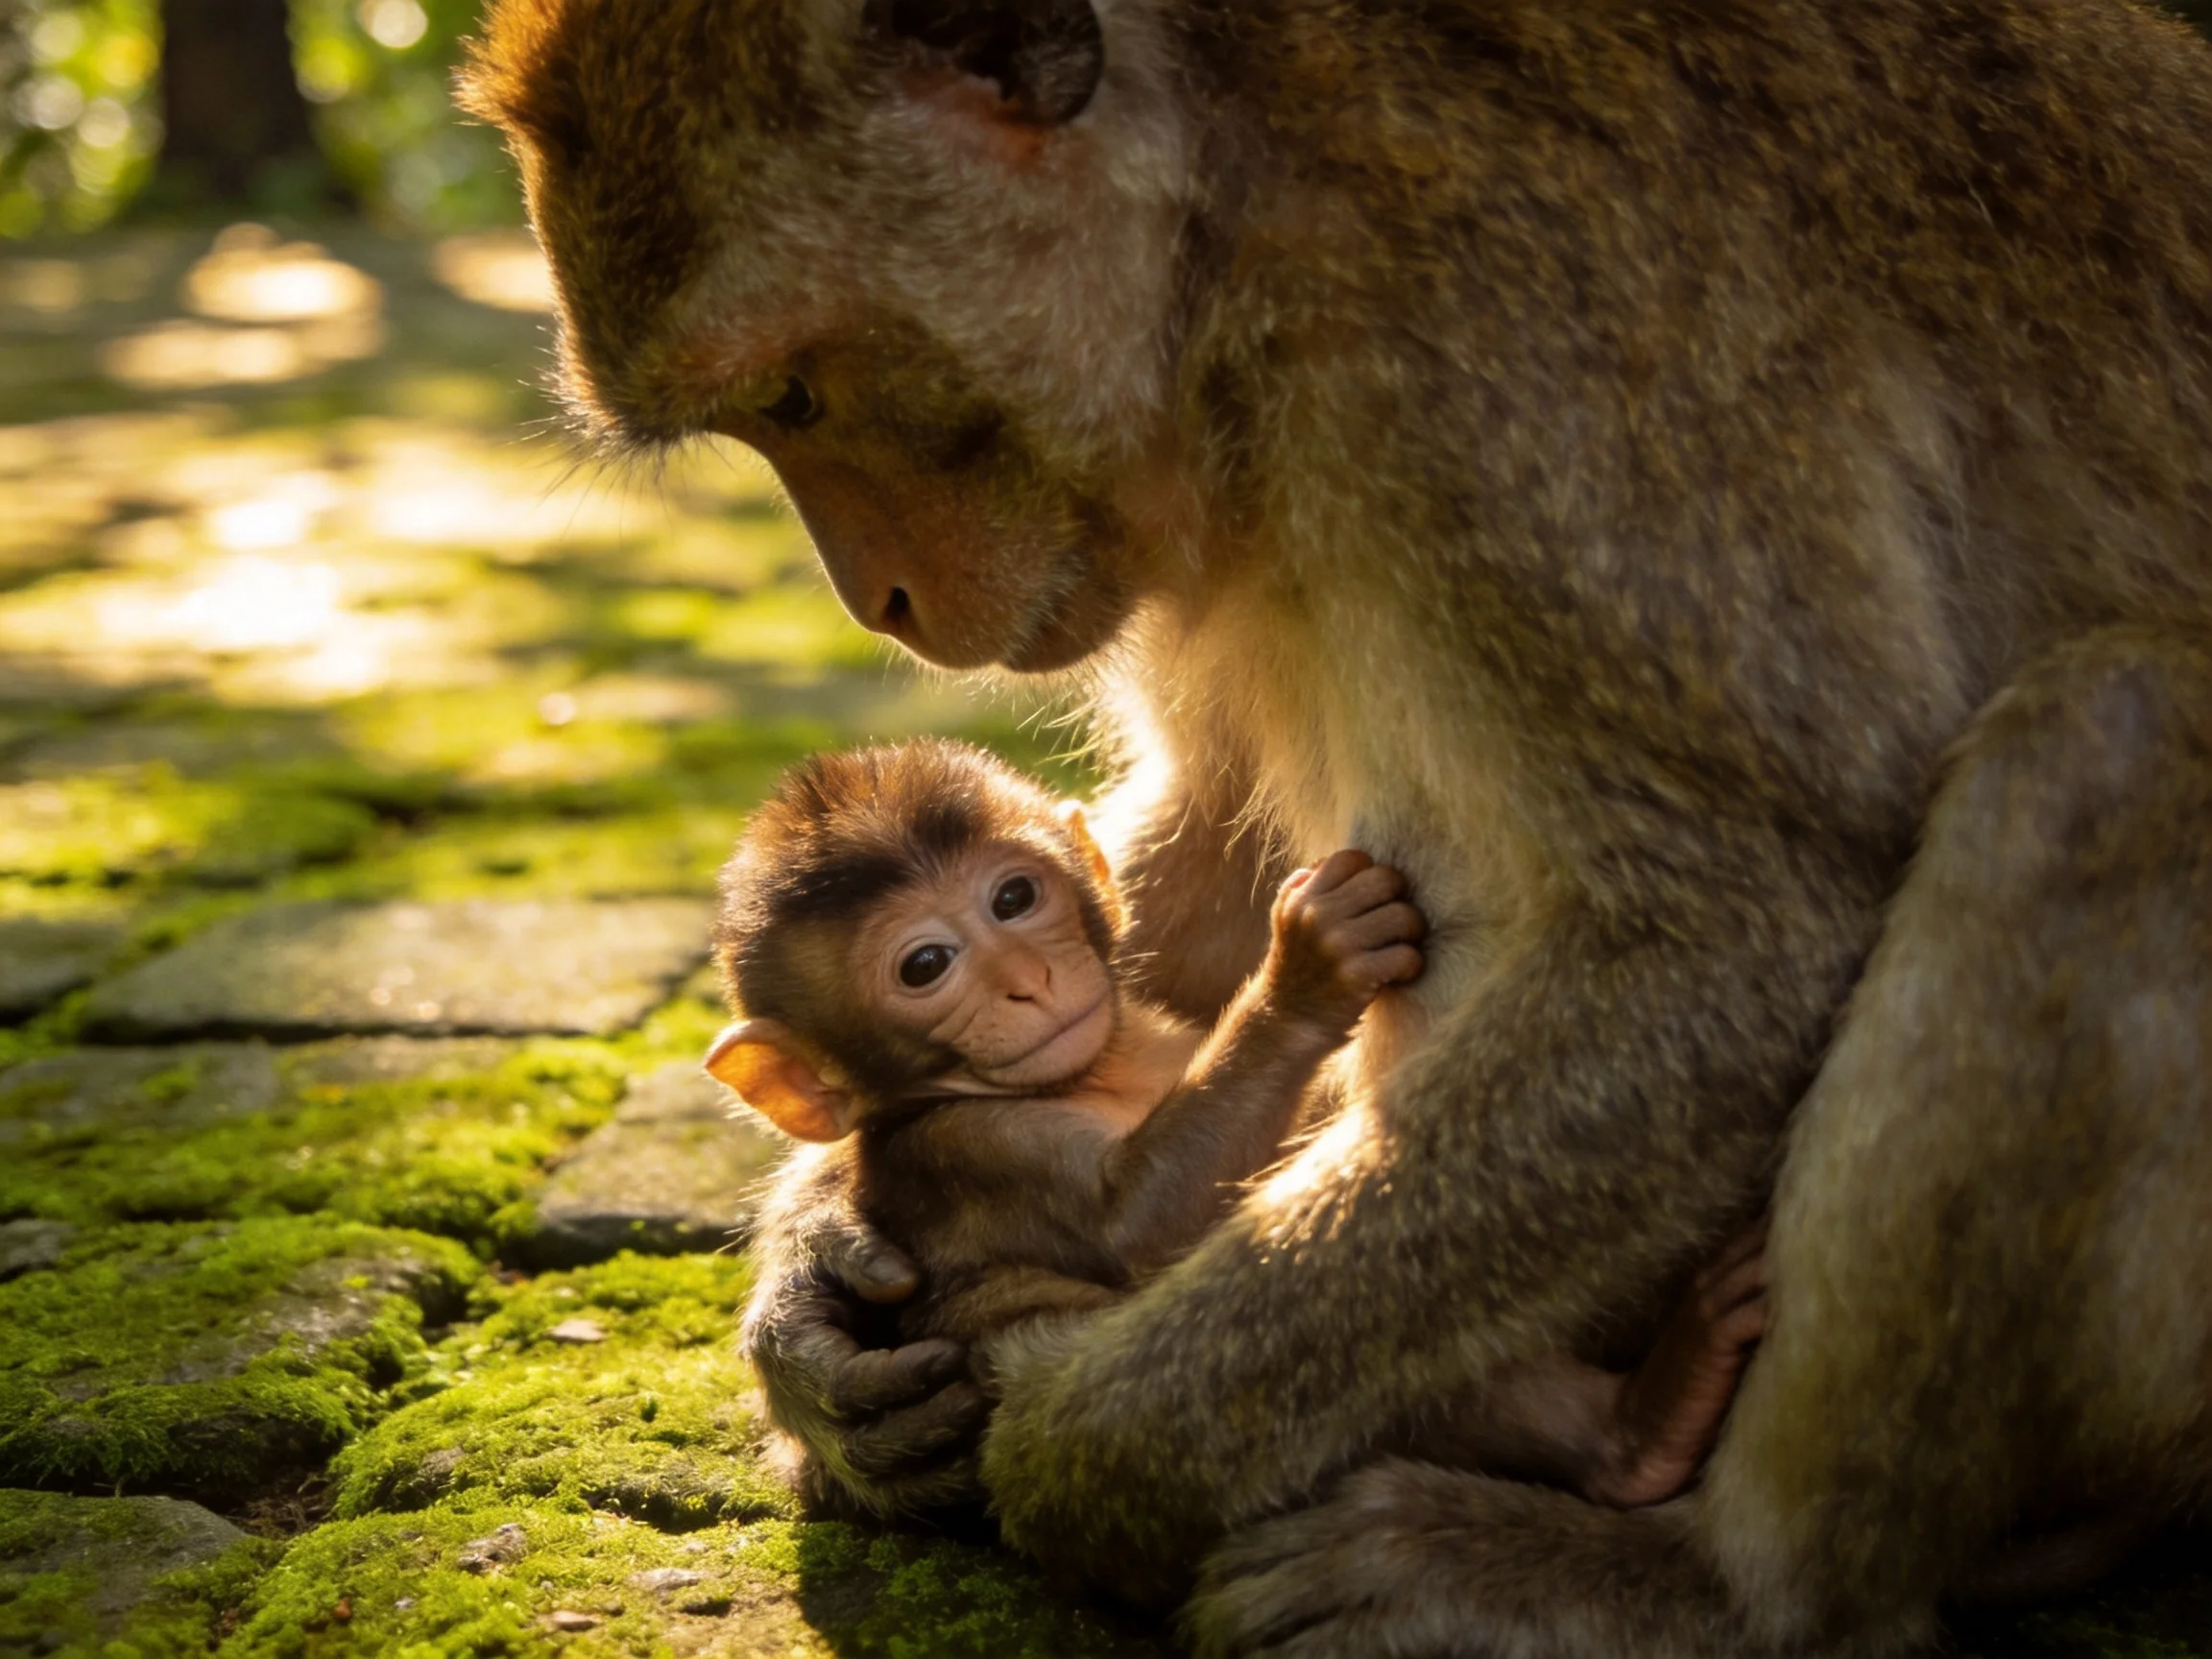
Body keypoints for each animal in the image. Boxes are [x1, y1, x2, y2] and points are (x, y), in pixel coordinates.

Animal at [712, 739, 1772, 1516]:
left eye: (1012, 898)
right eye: (924, 966)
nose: (1025, 980)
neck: (1101, 1068)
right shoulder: (967, 1146)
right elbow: (1133, 1222)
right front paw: (1307, 969)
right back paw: (1645, 1428)